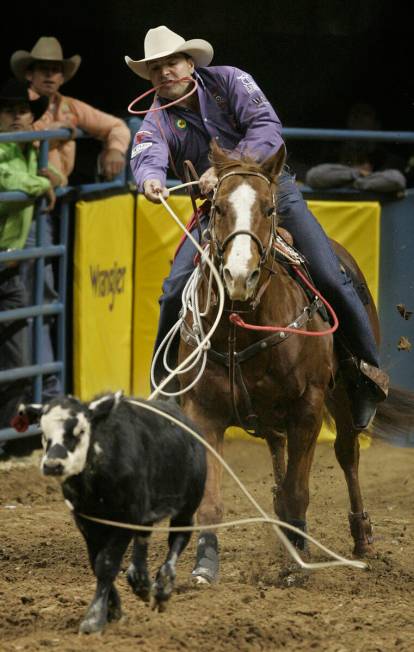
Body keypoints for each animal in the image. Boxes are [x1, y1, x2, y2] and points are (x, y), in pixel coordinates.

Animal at [16, 392, 207, 632]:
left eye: (80, 431)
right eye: (43, 432)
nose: (52, 465)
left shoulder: (125, 519)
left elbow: (106, 563)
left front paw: (94, 619)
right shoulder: (87, 523)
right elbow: (95, 562)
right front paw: (113, 610)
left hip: (187, 505)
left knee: (179, 538)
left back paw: (163, 588)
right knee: (144, 540)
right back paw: (141, 582)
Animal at [177, 141, 414, 580]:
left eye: (269, 208)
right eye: (217, 208)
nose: (240, 276)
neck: (243, 325)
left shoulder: (308, 407)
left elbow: (298, 492)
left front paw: (296, 561)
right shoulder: (204, 410)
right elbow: (213, 500)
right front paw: (204, 565)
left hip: (341, 397)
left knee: (347, 455)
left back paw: (362, 538)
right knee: (278, 450)